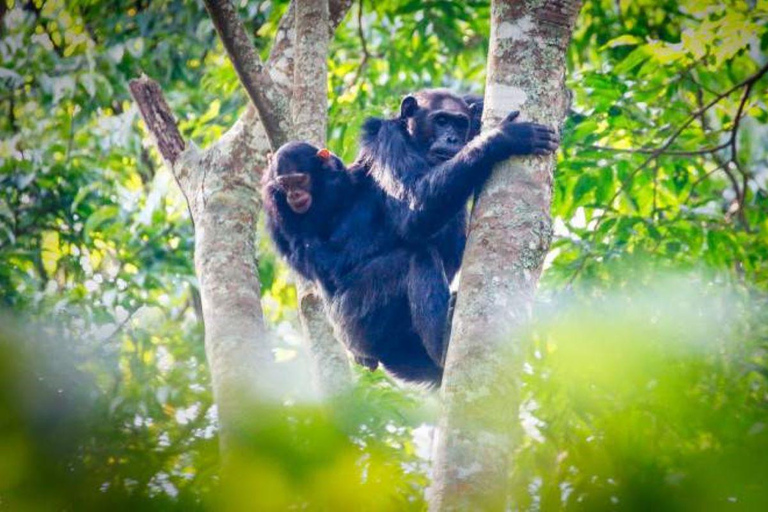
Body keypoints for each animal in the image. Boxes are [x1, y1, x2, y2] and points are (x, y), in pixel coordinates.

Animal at [262, 90, 560, 384]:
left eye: (459, 123)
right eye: (441, 120)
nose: (452, 138)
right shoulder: (387, 142)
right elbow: (414, 208)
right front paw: (503, 137)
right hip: (355, 318)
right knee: (418, 258)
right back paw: (442, 344)